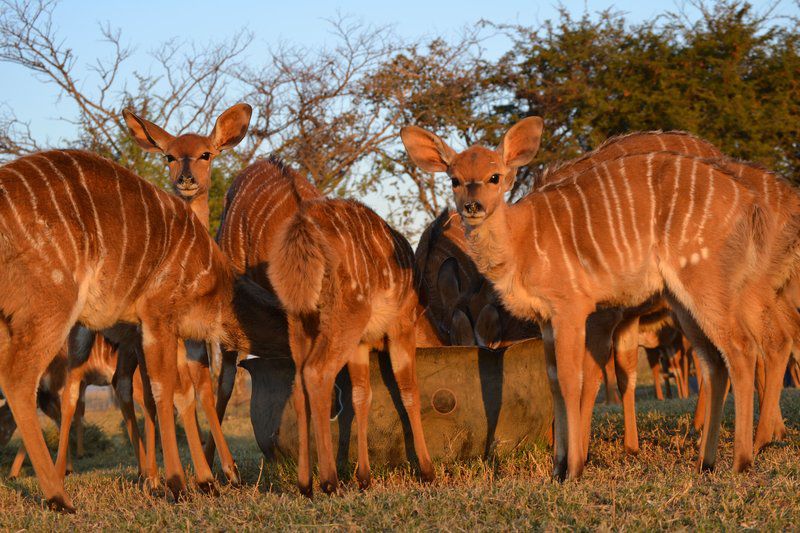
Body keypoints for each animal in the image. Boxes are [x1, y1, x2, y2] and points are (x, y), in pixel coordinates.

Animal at [0, 148, 284, 510]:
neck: (215, 282)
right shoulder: (157, 317)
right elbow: (165, 389)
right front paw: (180, 483)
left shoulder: (181, 335)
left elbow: (188, 392)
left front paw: (208, 479)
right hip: (55, 309)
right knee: (27, 381)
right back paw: (59, 495)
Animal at [268, 197, 434, 492]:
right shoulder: (401, 327)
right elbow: (409, 391)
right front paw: (427, 471)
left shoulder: (361, 344)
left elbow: (361, 396)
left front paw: (364, 477)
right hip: (347, 315)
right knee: (316, 372)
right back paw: (328, 480)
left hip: (300, 322)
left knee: (298, 383)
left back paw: (305, 484)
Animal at [404, 118, 800, 480]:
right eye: (454, 179)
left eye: (495, 176)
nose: (472, 206)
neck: (522, 235)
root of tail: (750, 201)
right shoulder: (547, 320)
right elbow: (553, 381)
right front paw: (559, 465)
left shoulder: (575, 310)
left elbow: (573, 380)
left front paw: (572, 468)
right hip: (686, 302)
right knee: (719, 362)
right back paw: (708, 461)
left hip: (715, 287)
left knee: (746, 349)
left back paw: (745, 457)